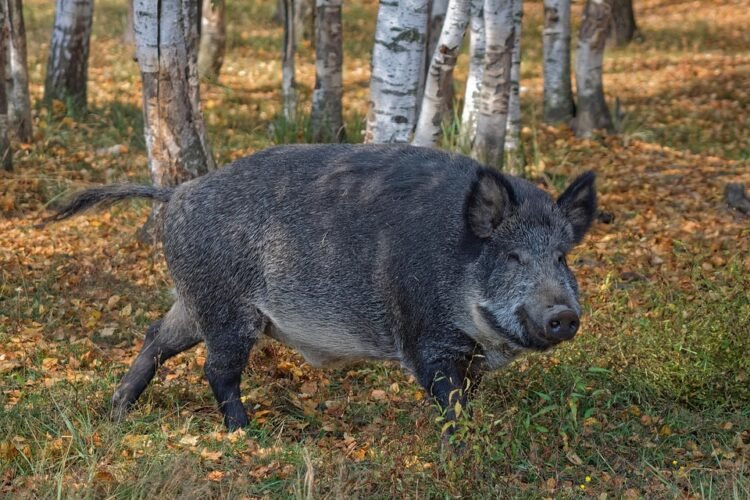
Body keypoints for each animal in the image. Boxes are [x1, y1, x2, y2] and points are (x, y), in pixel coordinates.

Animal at [49, 144, 596, 431]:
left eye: (562, 256)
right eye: (513, 256)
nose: (563, 315)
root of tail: (178, 191)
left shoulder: (472, 354)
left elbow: (470, 393)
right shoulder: (425, 336)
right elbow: (448, 397)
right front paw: (462, 442)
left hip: (194, 300)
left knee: (154, 336)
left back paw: (118, 412)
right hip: (227, 309)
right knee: (215, 369)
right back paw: (246, 432)